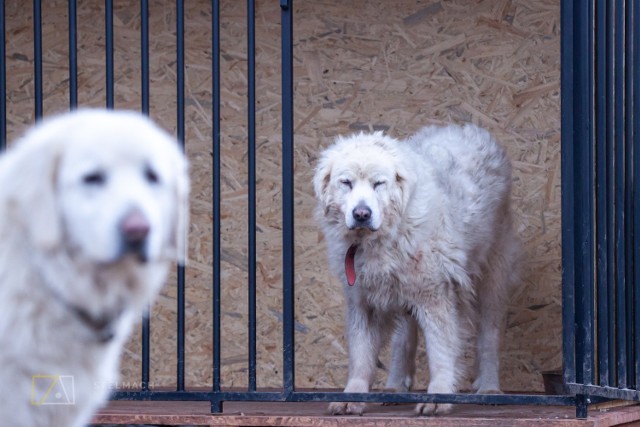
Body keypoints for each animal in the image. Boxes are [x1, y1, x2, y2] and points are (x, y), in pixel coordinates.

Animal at [314, 124, 520, 418]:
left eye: (379, 183)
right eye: (346, 183)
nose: (362, 214)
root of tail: (466, 127)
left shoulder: (435, 295)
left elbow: (440, 352)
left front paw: (439, 396)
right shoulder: (364, 302)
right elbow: (361, 355)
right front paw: (353, 396)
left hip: (493, 274)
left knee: (489, 333)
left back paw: (490, 388)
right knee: (404, 338)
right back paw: (396, 386)